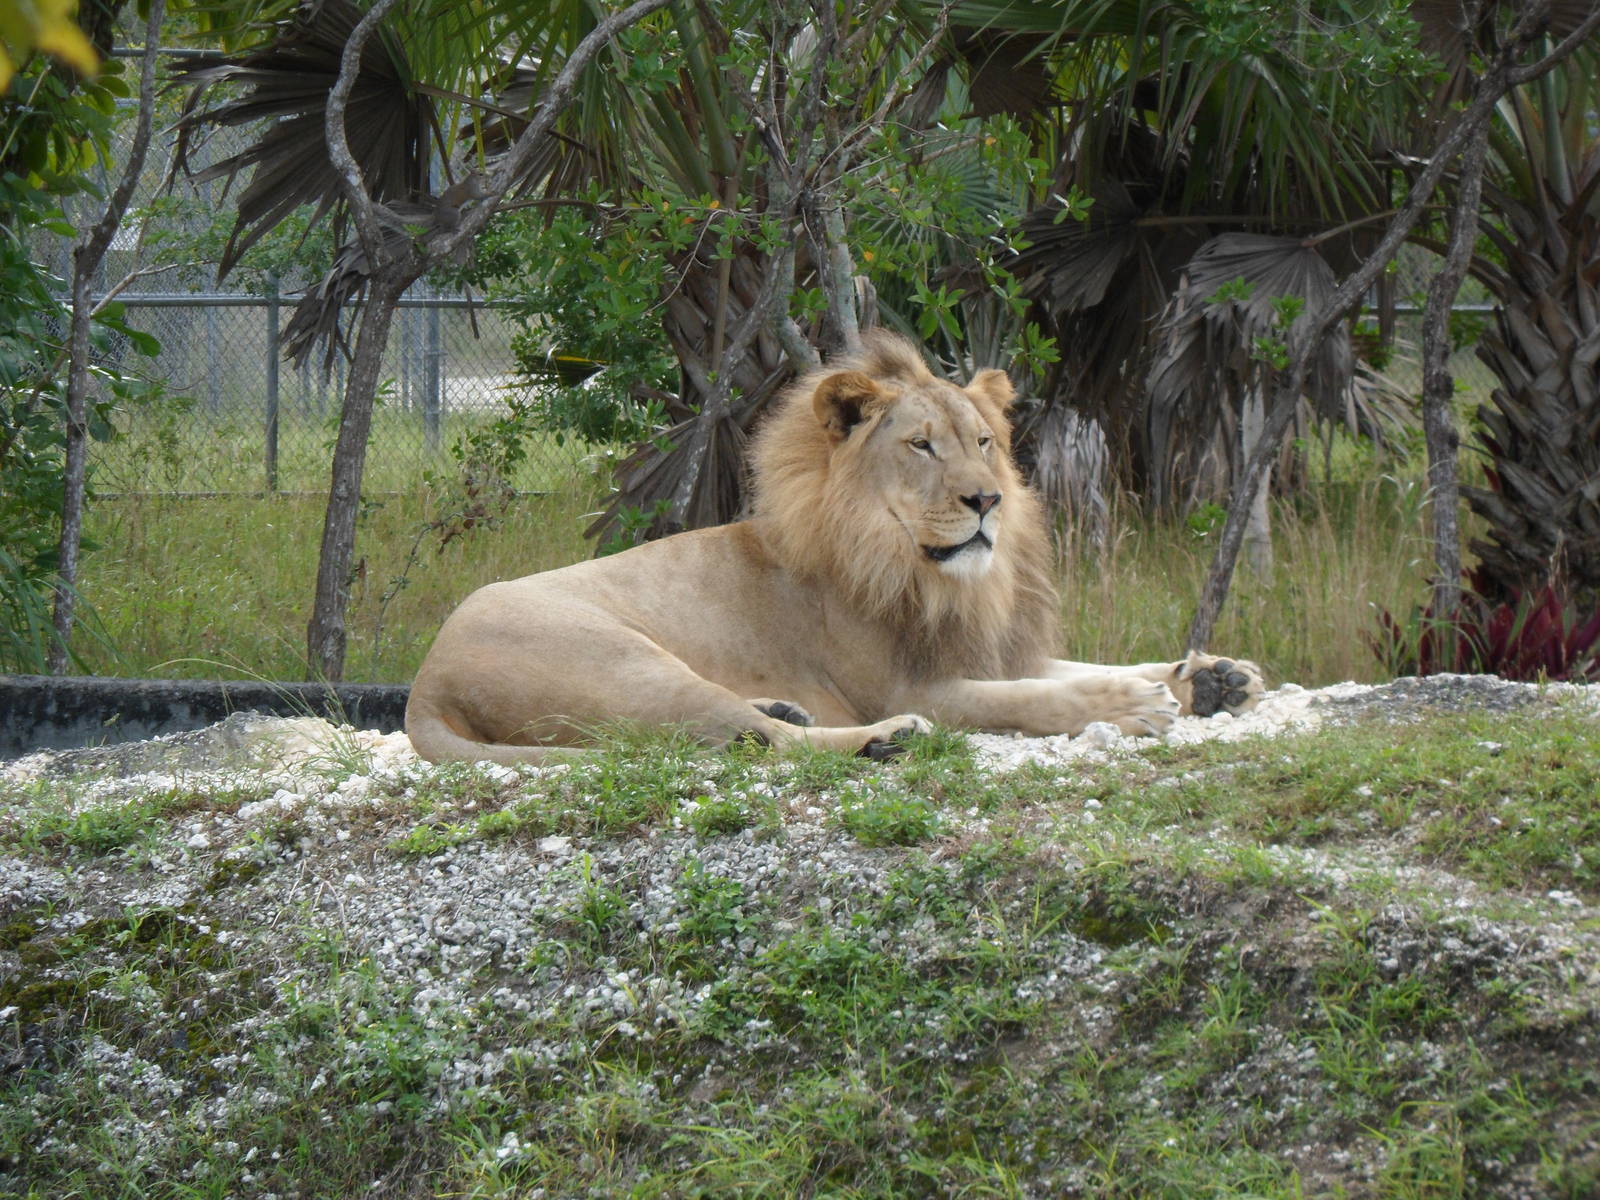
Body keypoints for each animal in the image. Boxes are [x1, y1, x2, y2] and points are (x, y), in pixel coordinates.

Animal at [405, 332, 1264, 764]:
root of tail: (425, 684)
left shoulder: (991, 647)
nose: (986, 500)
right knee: (750, 741)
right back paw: (883, 741)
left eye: (984, 442)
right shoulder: (914, 684)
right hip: (624, 662)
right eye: (921, 446)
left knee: (745, 728)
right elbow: (1036, 698)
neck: (938, 575)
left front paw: (1215, 677)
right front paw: (1131, 706)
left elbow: (1086, 664)